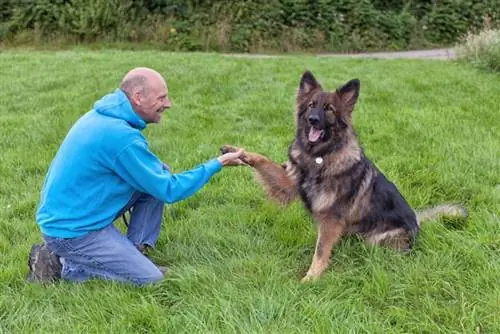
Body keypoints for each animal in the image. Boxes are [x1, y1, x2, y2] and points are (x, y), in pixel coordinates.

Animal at [221, 70, 466, 282]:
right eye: (311, 105)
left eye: (329, 109)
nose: (312, 119)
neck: (320, 156)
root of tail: (417, 219)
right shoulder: (289, 182)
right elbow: (263, 161)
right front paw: (236, 153)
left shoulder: (331, 218)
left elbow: (320, 251)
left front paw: (311, 278)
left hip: (377, 240)